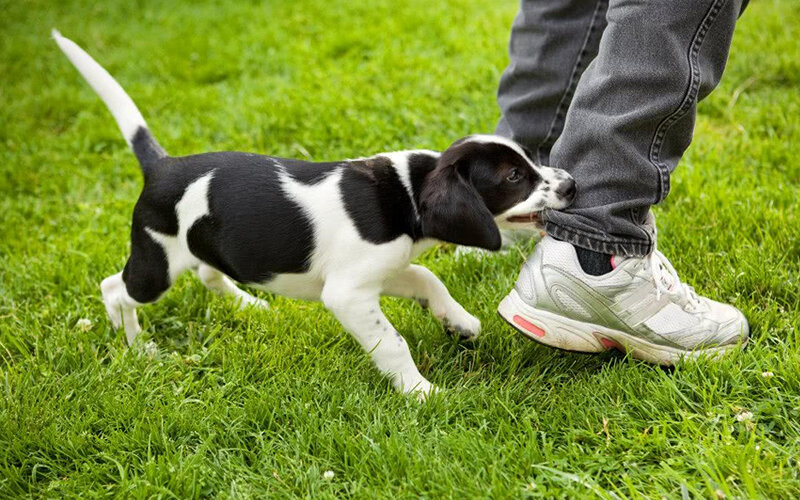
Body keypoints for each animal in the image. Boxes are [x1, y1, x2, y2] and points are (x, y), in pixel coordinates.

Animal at [51, 30, 576, 398]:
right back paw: (138, 347)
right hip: (156, 263)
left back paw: (249, 304)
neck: (407, 192)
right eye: (514, 177)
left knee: (208, 272)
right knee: (116, 289)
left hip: (204, 245)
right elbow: (393, 342)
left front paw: (459, 322)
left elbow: (428, 278)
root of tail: (161, 166)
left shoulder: (381, 270)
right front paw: (421, 392)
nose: (571, 184)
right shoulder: (347, 293)